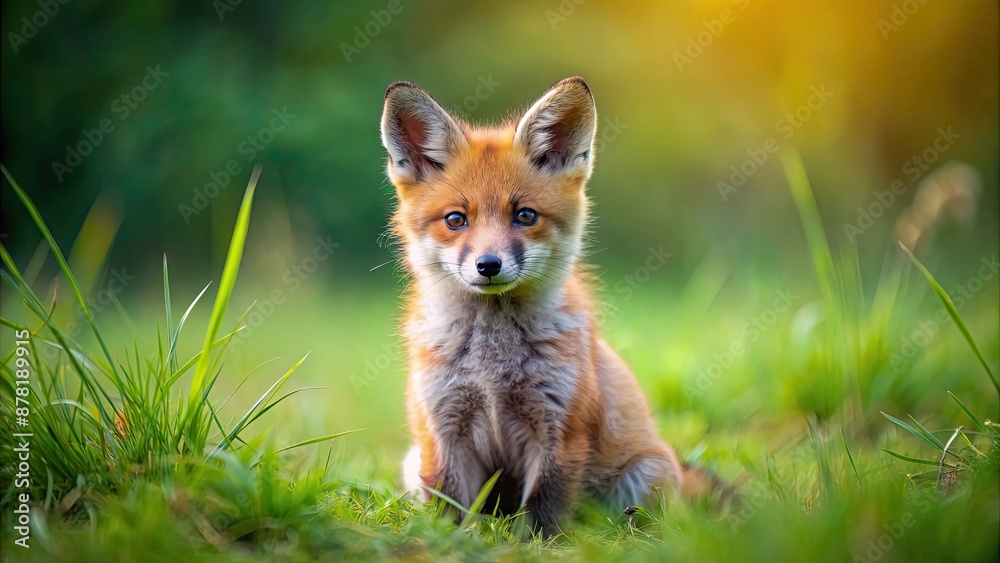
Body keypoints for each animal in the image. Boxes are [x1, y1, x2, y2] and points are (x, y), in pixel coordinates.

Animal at [380, 76, 701, 535]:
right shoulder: (442, 429)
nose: (488, 265)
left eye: (525, 216)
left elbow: (542, 509)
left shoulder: (558, 429)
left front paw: (536, 544)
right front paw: (451, 542)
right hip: (412, 461)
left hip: (645, 476)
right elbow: (451, 508)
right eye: (456, 219)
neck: (492, 368)